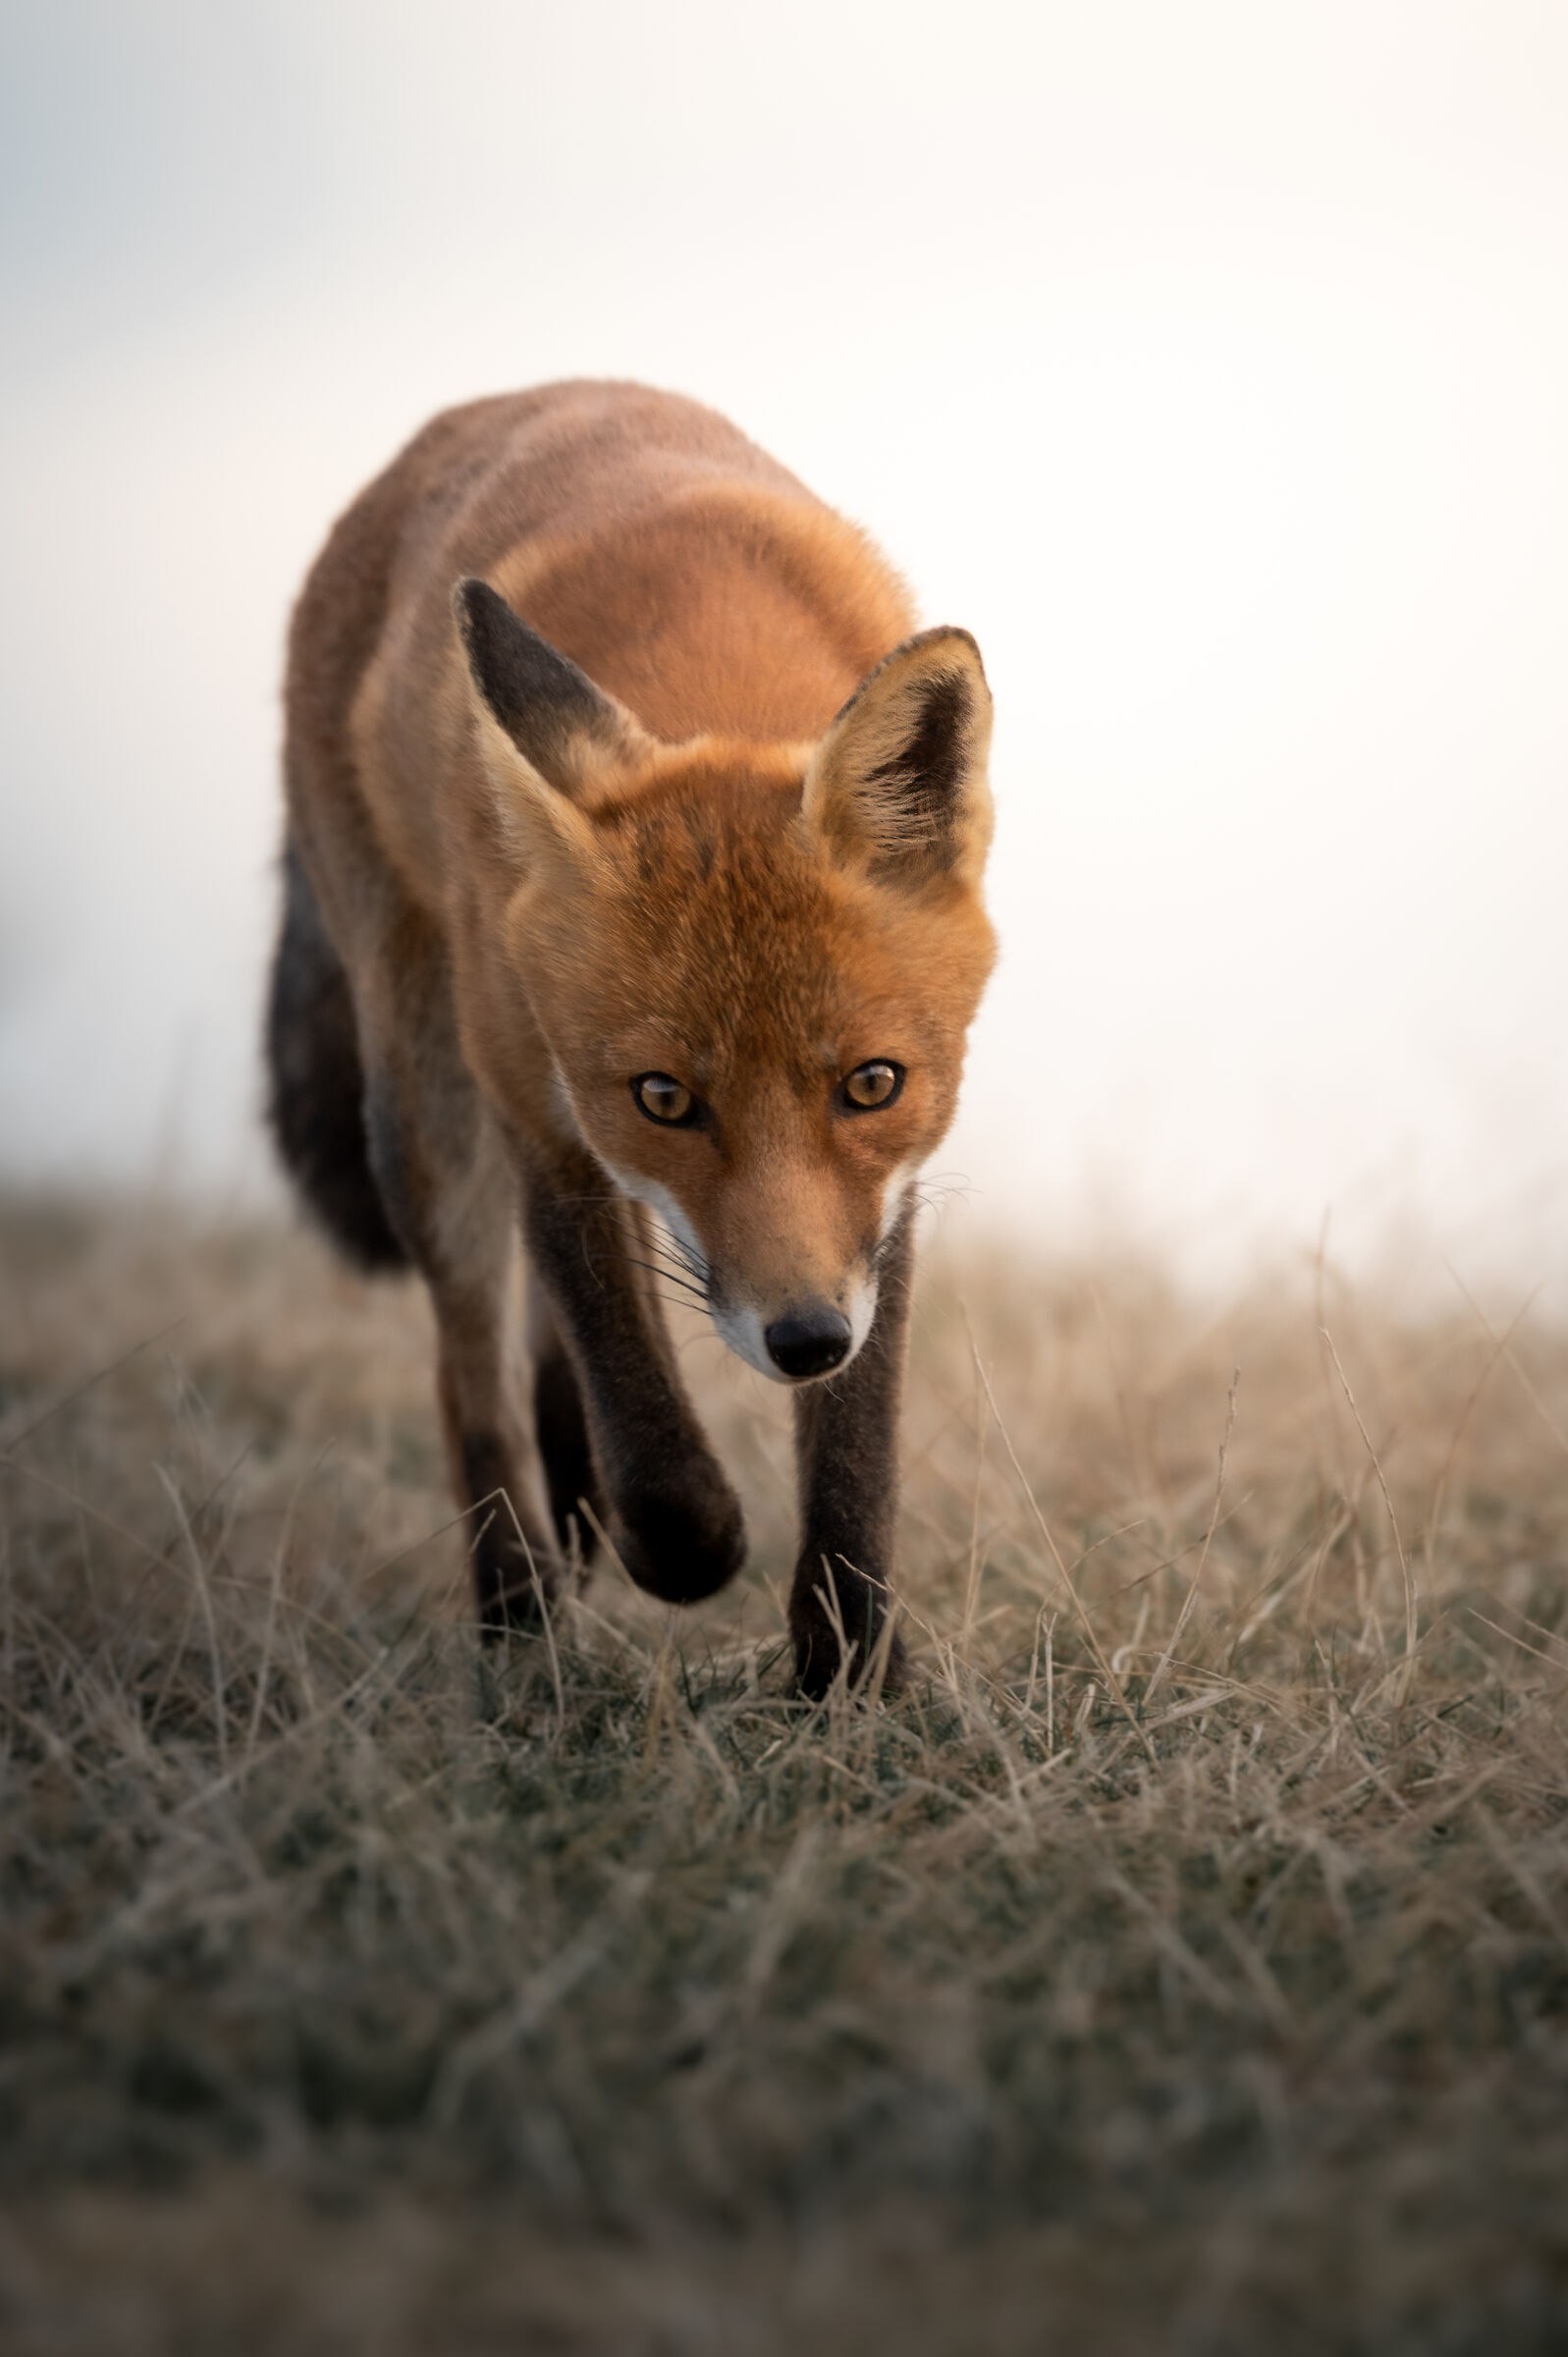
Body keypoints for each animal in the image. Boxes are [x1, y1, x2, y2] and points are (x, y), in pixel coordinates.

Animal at [267, 381, 995, 1695]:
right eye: (664, 1098)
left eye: (871, 1084)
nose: (801, 1340)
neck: (713, 648)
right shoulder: (540, 1102)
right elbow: (622, 1367)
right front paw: (686, 1546)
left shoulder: (886, 1195)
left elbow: (857, 1445)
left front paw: (846, 1663)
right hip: (426, 1095)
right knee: (475, 1368)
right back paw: (518, 1616)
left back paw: (574, 1510)